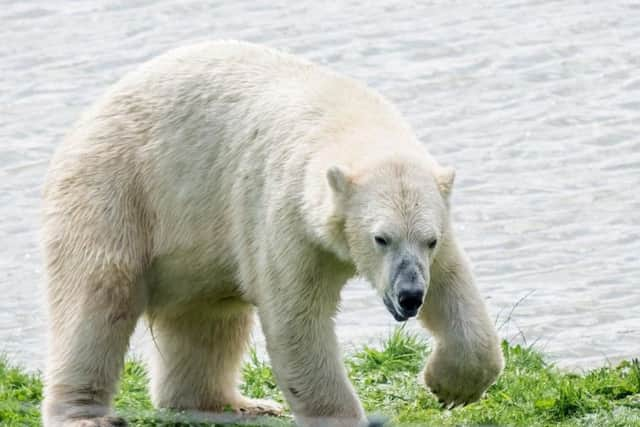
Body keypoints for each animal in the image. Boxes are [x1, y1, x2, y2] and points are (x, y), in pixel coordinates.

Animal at [42, 41, 504, 427]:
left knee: (209, 318)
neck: (346, 117)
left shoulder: (436, 226)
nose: (409, 297)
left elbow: (453, 285)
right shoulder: (285, 213)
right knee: (100, 296)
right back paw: (85, 414)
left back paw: (234, 404)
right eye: (381, 238)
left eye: (429, 239)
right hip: (117, 188)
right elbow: (297, 319)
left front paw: (450, 386)